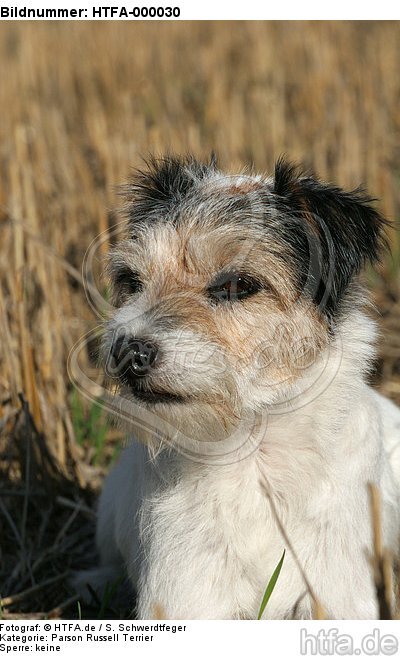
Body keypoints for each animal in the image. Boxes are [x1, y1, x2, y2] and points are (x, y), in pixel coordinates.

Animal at [76, 156, 400, 616]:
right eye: (132, 280)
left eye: (236, 285)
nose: (127, 351)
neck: (254, 450)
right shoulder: (188, 594)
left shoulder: (336, 592)